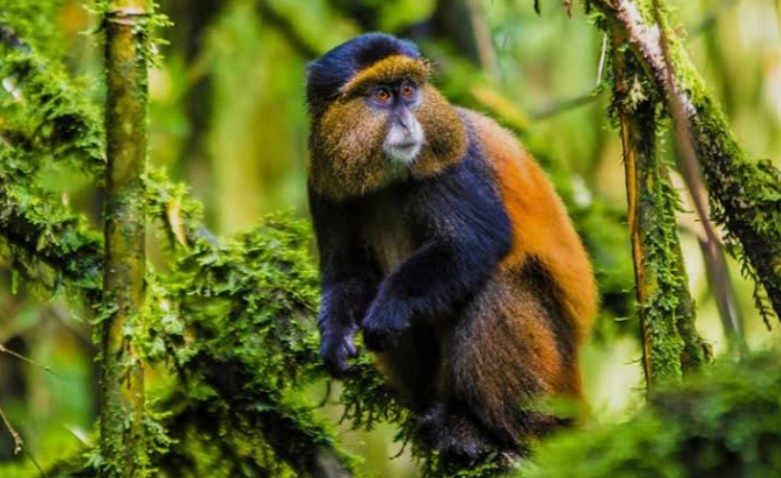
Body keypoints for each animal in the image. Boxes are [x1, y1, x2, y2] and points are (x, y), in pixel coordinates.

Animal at [305, 33, 597, 460]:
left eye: (408, 91)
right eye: (381, 95)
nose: (408, 121)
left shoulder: (452, 165)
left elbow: (474, 243)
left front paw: (389, 309)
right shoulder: (324, 183)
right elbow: (347, 272)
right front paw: (335, 335)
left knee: (497, 285)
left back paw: (486, 429)